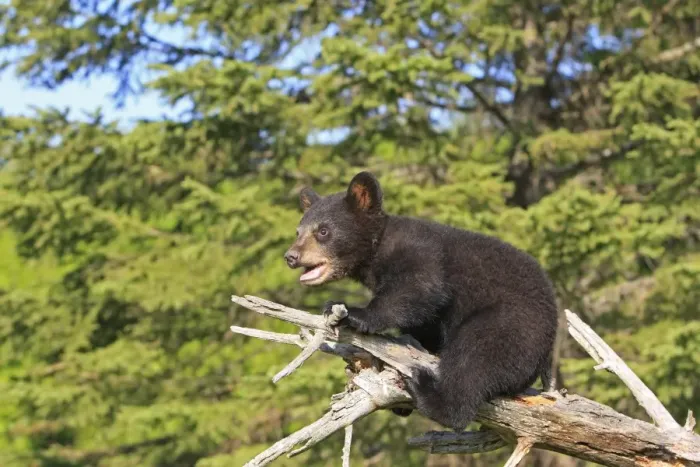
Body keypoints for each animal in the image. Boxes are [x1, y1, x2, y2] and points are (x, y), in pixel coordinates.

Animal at [283, 171, 558, 431]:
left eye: (323, 231)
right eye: (298, 231)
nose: (291, 256)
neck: (376, 251)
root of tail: (547, 353)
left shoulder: (421, 252)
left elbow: (421, 286)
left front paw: (354, 313)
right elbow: (425, 323)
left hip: (514, 324)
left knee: (474, 358)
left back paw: (426, 391)